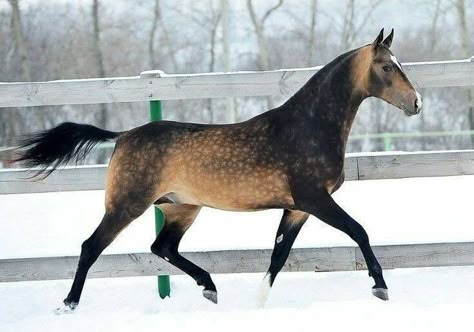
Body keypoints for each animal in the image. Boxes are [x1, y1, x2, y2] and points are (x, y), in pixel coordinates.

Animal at [14, 28, 422, 312]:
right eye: (387, 66)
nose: (416, 103)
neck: (308, 126)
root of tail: (123, 136)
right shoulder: (314, 200)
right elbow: (359, 231)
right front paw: (381, 288)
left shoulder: (297, 208)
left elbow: (278, 255)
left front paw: (258, 304)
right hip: (127, 205)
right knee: (91, 247)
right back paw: (68, 306)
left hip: (181, 207)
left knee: (162, 247)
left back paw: (209, 287)